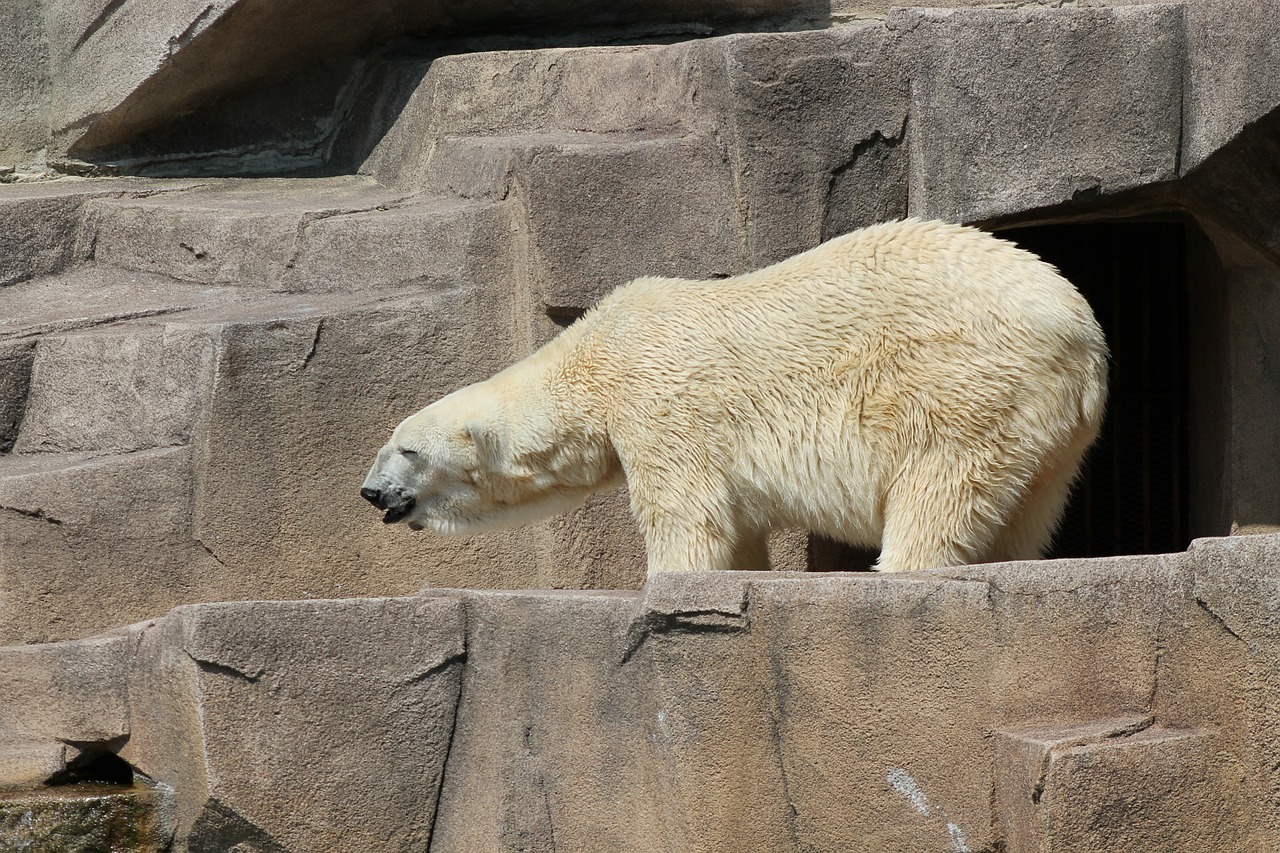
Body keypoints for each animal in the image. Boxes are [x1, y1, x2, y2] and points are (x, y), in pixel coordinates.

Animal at [363, 217, 1111, 571]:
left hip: (960, 380)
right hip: (1045, 429)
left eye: (407, 449)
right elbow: (739, 532)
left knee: (940, 488)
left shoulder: (661, 406)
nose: (371, 492)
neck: (595, 357)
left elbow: (688, 520)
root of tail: (1083, 333)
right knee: (1023, 509)